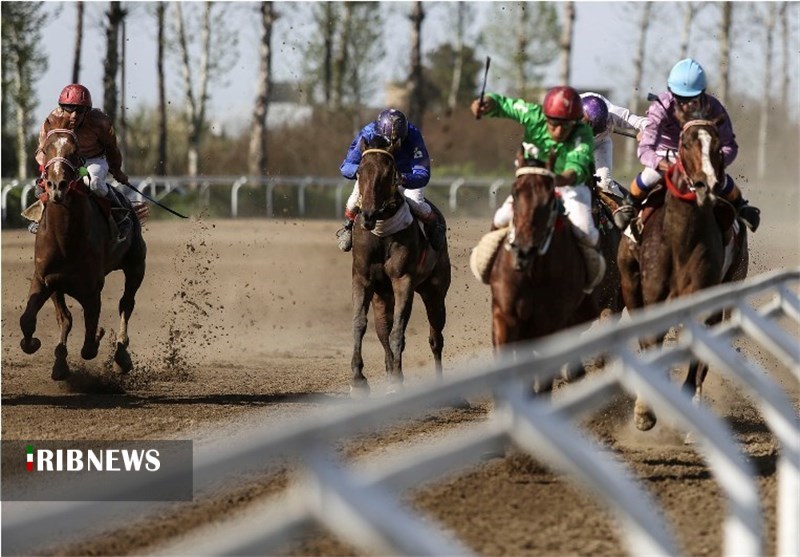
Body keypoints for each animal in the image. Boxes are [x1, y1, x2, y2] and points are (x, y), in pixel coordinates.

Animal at [18, 127, 147, 378]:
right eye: (45, 150)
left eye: (74, 152)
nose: (56, 186)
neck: (65, 239)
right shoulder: (45, 279)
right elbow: (30, 319)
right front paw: (43, 350)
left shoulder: (91, 287)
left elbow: (89, 343)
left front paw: (98, 336)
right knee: (66, 318)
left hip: (136, 265)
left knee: (126, 304)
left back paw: (121, 356)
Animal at [348, 135, 454, 396]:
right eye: (360, 172)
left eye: (389, 173)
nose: (367, 216)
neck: (381, 233)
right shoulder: (362, 279)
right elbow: (360, 324)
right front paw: (358, 379)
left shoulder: (403, 280)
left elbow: (399, 331)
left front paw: (396, 381)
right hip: (382, 295)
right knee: (382, 330)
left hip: (435, 291)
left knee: (435, 336)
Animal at [488, 150, 600, 388]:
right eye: (515, 192)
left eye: (549, 199)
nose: (523, 250)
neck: (533, 272)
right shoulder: (505, 316)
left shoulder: (548, 324)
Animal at [620, 102, 752, 428]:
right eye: (686, 143)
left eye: (718, 146)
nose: (708, 183)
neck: (681, 240)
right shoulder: (652, 293)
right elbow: (651, 340)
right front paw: (644, 410)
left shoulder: (700, 295)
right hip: (630, 284)